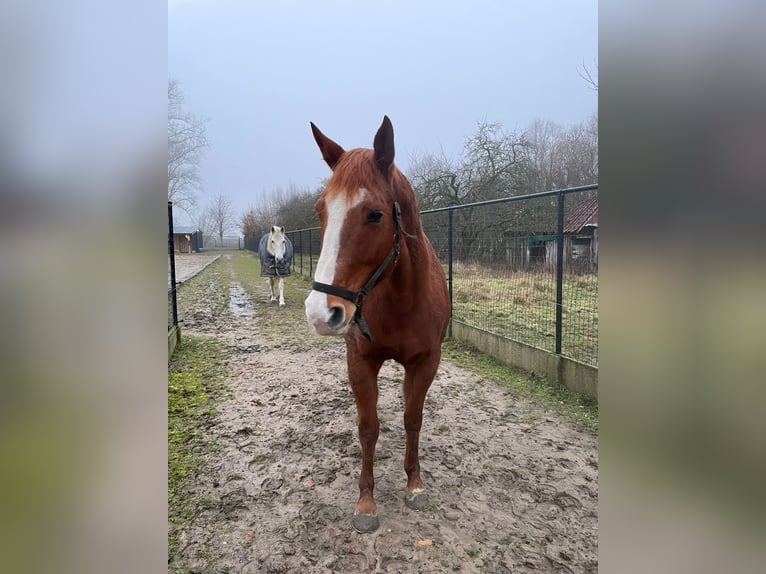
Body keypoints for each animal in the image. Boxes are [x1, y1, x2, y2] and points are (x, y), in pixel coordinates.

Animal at [305, 116, 451, 533]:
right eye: (321, 211)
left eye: (375, 214)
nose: (320, 311)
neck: (402, 297)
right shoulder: (360, 362)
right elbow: (368, 428)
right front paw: (366, 503)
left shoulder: (426, 362)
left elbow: (413, 419)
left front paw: (414, 483)